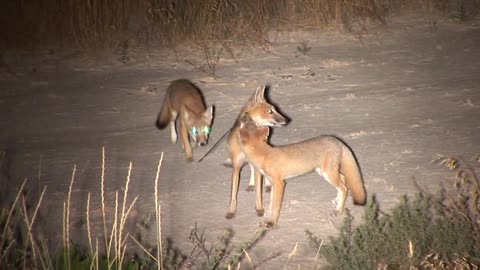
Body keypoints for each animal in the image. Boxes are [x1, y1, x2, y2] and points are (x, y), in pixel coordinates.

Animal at [224, 86, 286, 219]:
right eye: (269, 111)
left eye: (274, 109)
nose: (286, 120)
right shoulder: (236, 166)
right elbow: (233, 195)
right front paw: (231, 211)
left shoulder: (258, 167)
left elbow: (259, 193)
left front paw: (259, 208)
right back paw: (252, 184)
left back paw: (267, 184)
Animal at [237, 113, 368, 227]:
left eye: (249, 122)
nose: (245, 114)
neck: (265, 155)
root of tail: (335, 139)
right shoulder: (273, 183)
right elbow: (271, 203)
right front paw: (268, 216)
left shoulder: (279, 183)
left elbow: (275, 206)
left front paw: (272, 222)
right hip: (324, 172)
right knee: (343, 179)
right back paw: (337, 201)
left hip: (328, 174)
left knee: (344, 188)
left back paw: (338, 210)